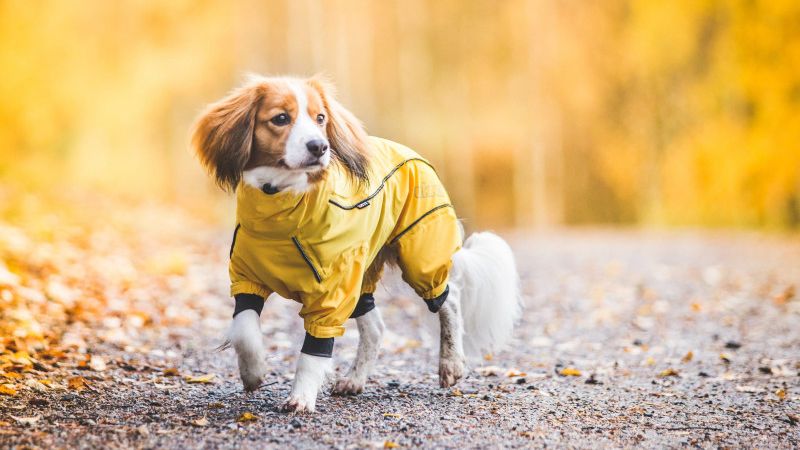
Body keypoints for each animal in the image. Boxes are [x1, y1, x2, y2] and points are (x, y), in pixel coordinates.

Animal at [191, 75, 520, 414]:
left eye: (320, 118)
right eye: (280, 118)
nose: (319, 146)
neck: (282, 207)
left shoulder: (332, 296)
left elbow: (313, 352)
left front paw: (301, 397)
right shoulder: (247, 279)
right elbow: (244, 329)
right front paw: (253, 372)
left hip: (419, 256)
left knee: (448, 301)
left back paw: (451, 363)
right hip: (361, 274)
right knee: (376, 328)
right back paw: (355, 379)